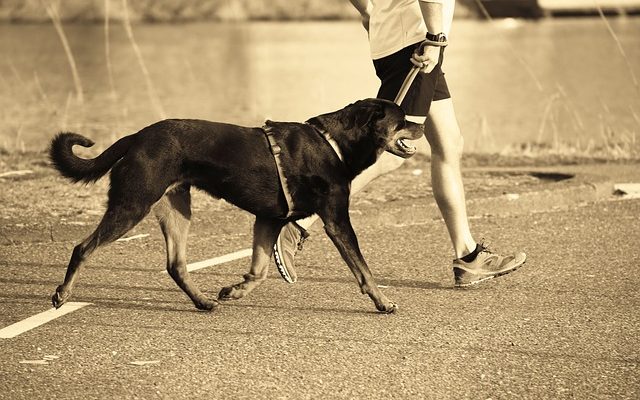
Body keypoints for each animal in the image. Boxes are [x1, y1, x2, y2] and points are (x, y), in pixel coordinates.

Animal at [48, 98, 420, 314]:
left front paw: (235, 291)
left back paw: (202, 301)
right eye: (402, 118)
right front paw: (383, 302)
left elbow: (259, 270)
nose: (421, 123)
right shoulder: (337, 220)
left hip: (176, 208)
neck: (334, 143)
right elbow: (363, 269)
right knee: (83, 248)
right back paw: (62, 294)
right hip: (133, 203)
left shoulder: (268, 219)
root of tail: (137, 137)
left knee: (175, 264)